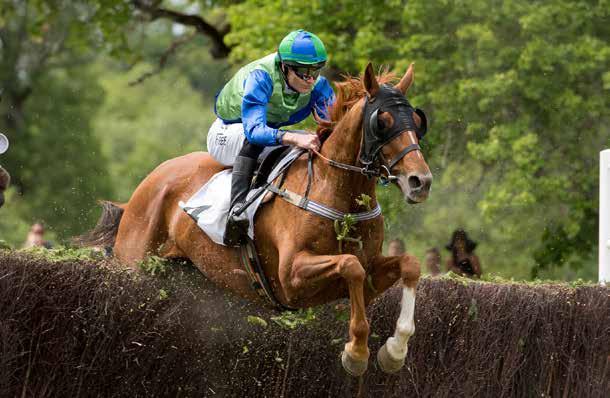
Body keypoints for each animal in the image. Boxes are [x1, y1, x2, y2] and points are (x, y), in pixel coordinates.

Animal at [78, 63, 432, 376]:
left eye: (417, 120)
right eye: (382, 121)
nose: (421, 181)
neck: (334, 190)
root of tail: (148, 183)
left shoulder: (367, 275)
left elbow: (408, 264)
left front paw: (394, 352)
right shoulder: (290, 278)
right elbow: (350, 265)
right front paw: (356, 353)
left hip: (189, 273)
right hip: (134, 264)